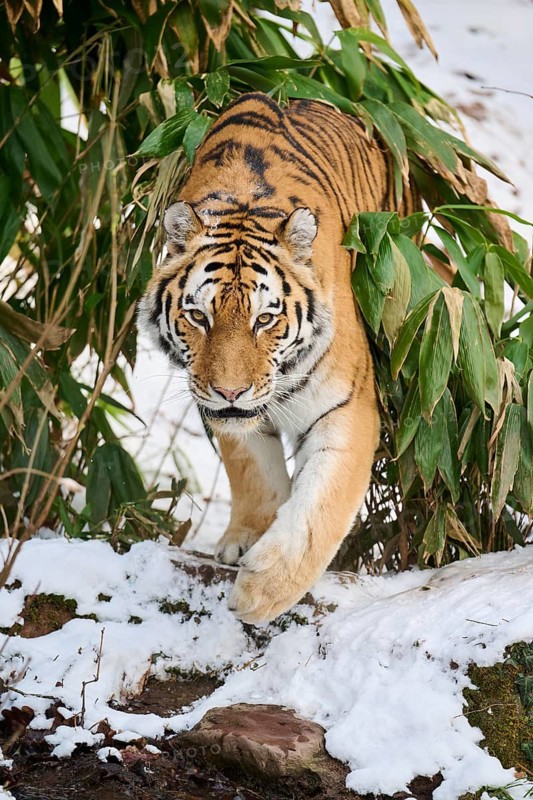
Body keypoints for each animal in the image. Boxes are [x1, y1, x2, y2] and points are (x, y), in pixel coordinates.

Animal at [139, 92, 416, 624]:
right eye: (198, 316)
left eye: (265, 320)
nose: (230, 390)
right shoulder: (228, 416)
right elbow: (257, 476)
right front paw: (245, 542)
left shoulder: (345, 408)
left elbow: (319, 507)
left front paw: (260, 592)